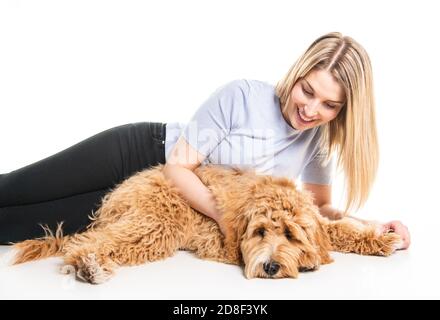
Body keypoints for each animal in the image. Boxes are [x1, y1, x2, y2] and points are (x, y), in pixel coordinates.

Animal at [5, 164, 402, 284]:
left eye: (290, 234)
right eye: (260, 233)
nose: (270, 267)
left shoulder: (318, 222)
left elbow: (341, 229)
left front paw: (383, 238)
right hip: (154, 224)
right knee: (84, 241)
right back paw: (88, 266)